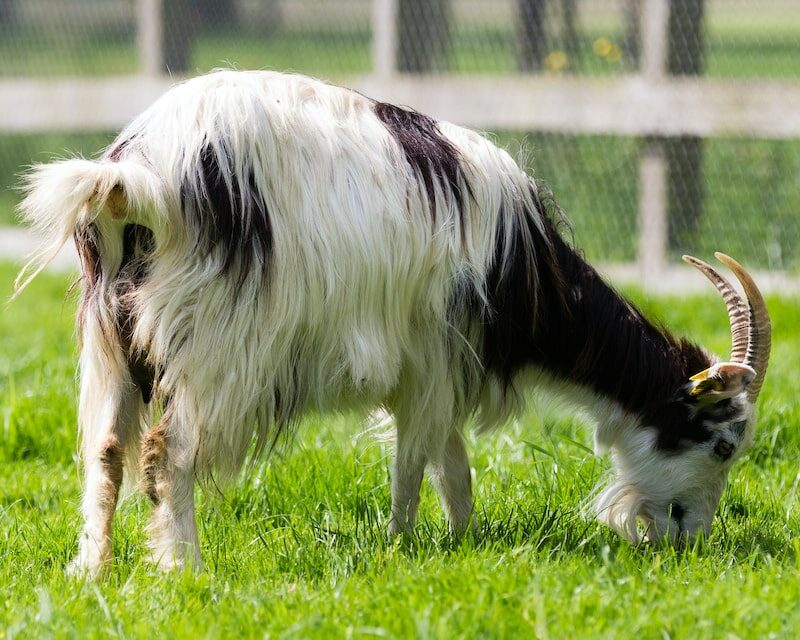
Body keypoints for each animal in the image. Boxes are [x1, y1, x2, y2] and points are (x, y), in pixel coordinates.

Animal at [17, 70, 768, 576]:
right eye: (723, 445)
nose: (690, 539)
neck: (522, 266)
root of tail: (139, 175)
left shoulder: (434, 369)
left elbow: (451, 466)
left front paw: (462, 544)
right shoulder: (431, 358)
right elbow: (418, 466)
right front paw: (404, 547)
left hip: (111, 339)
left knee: (105, 450)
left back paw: (93, 570)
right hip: (217, 346)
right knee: (167, 453)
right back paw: (184, 570)